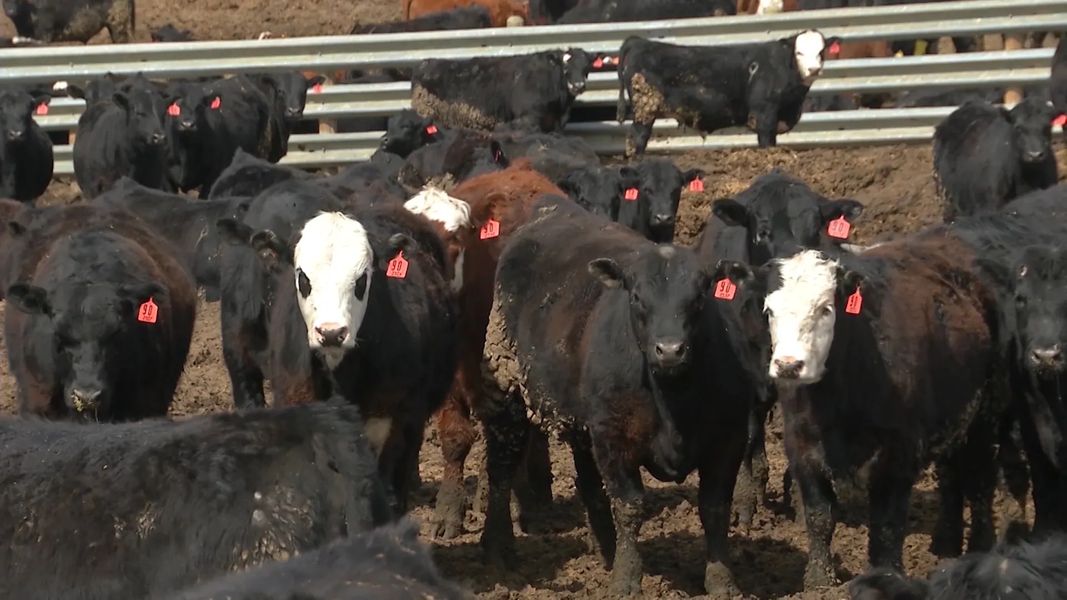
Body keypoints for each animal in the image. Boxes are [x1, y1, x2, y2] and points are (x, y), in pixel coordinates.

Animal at [480, 194, 756, 597]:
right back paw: (497, 550)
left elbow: (715, 508)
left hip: (583, 423)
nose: (669, 350)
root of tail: (550, 209)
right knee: (500, 470)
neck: (674, 399)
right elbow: (629, 507)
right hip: (507, 392)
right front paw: (627, 579)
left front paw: (722, 581)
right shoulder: (615, 439)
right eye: (637, 296)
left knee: (589, 485)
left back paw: (605, 550)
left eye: (699, 296)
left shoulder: (728, 440)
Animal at [617, 31, 835, 155]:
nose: (814, 69)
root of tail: (640, 42)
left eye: (821, 52)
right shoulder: (764, 112)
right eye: (799, 53)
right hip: (645, 109)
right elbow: (767, 141)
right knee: (637, 139)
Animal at [728, 233, 1009, 590]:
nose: (789, 365)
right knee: (951, 479)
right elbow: (819, 516)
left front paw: (884, 577)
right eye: (769, 310)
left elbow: (887, 525)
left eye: (826, 308)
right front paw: (818, 581)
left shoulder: (900, 453)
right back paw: (945, 546)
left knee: (980, 483)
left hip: (986, 415)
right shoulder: (801, 446)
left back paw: (980, 550)